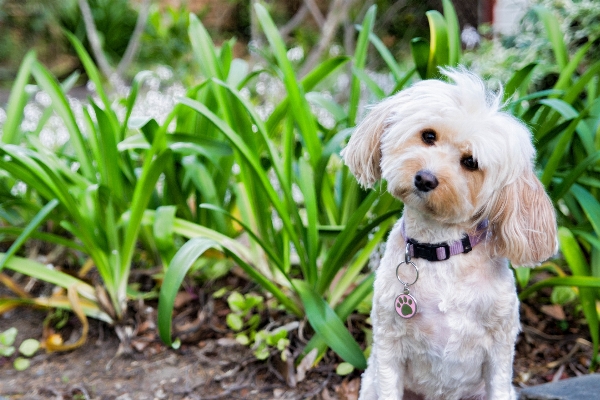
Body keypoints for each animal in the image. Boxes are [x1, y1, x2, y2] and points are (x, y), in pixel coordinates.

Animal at [342, 69, 556, 400]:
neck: (441, 251)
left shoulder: (500, 350)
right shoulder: (388, 346)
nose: (425, 178)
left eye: (471, 162)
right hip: (370, 383)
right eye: (428, 136)